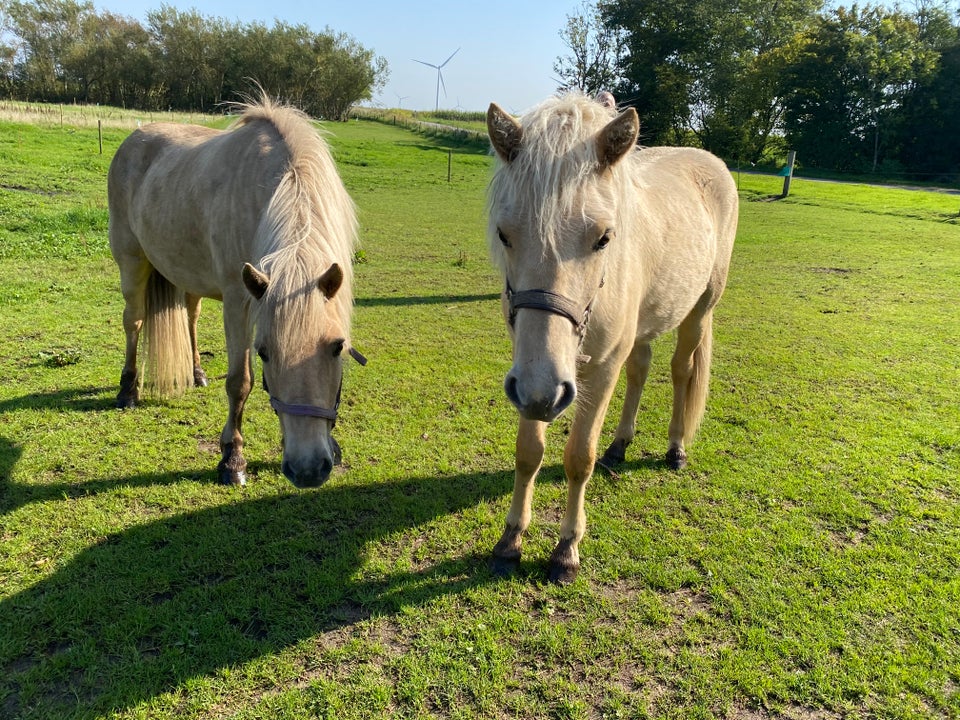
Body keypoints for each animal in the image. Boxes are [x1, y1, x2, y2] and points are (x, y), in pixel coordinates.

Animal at [109, 95, 362, 486]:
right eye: (264, 353)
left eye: (338, 347)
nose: (307, 469)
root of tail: (134, 137)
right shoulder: (238, 301)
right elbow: (239, 382)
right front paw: (232, 458)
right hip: (131, 262)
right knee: (133, 322)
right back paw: (127, 390)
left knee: (191, 316)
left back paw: (197, 373)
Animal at [484, 93, 740, 584]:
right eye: (505, 234)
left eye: (603, 238)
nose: (544, 391)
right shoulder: (530, 377)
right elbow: (528, 452)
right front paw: (511, 539)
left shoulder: (596, 372)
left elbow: (578, 458)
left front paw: (566, 549)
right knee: (640, 369)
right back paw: (620, 445)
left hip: (701, 310)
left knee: (681, 370)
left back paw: (676, 448)